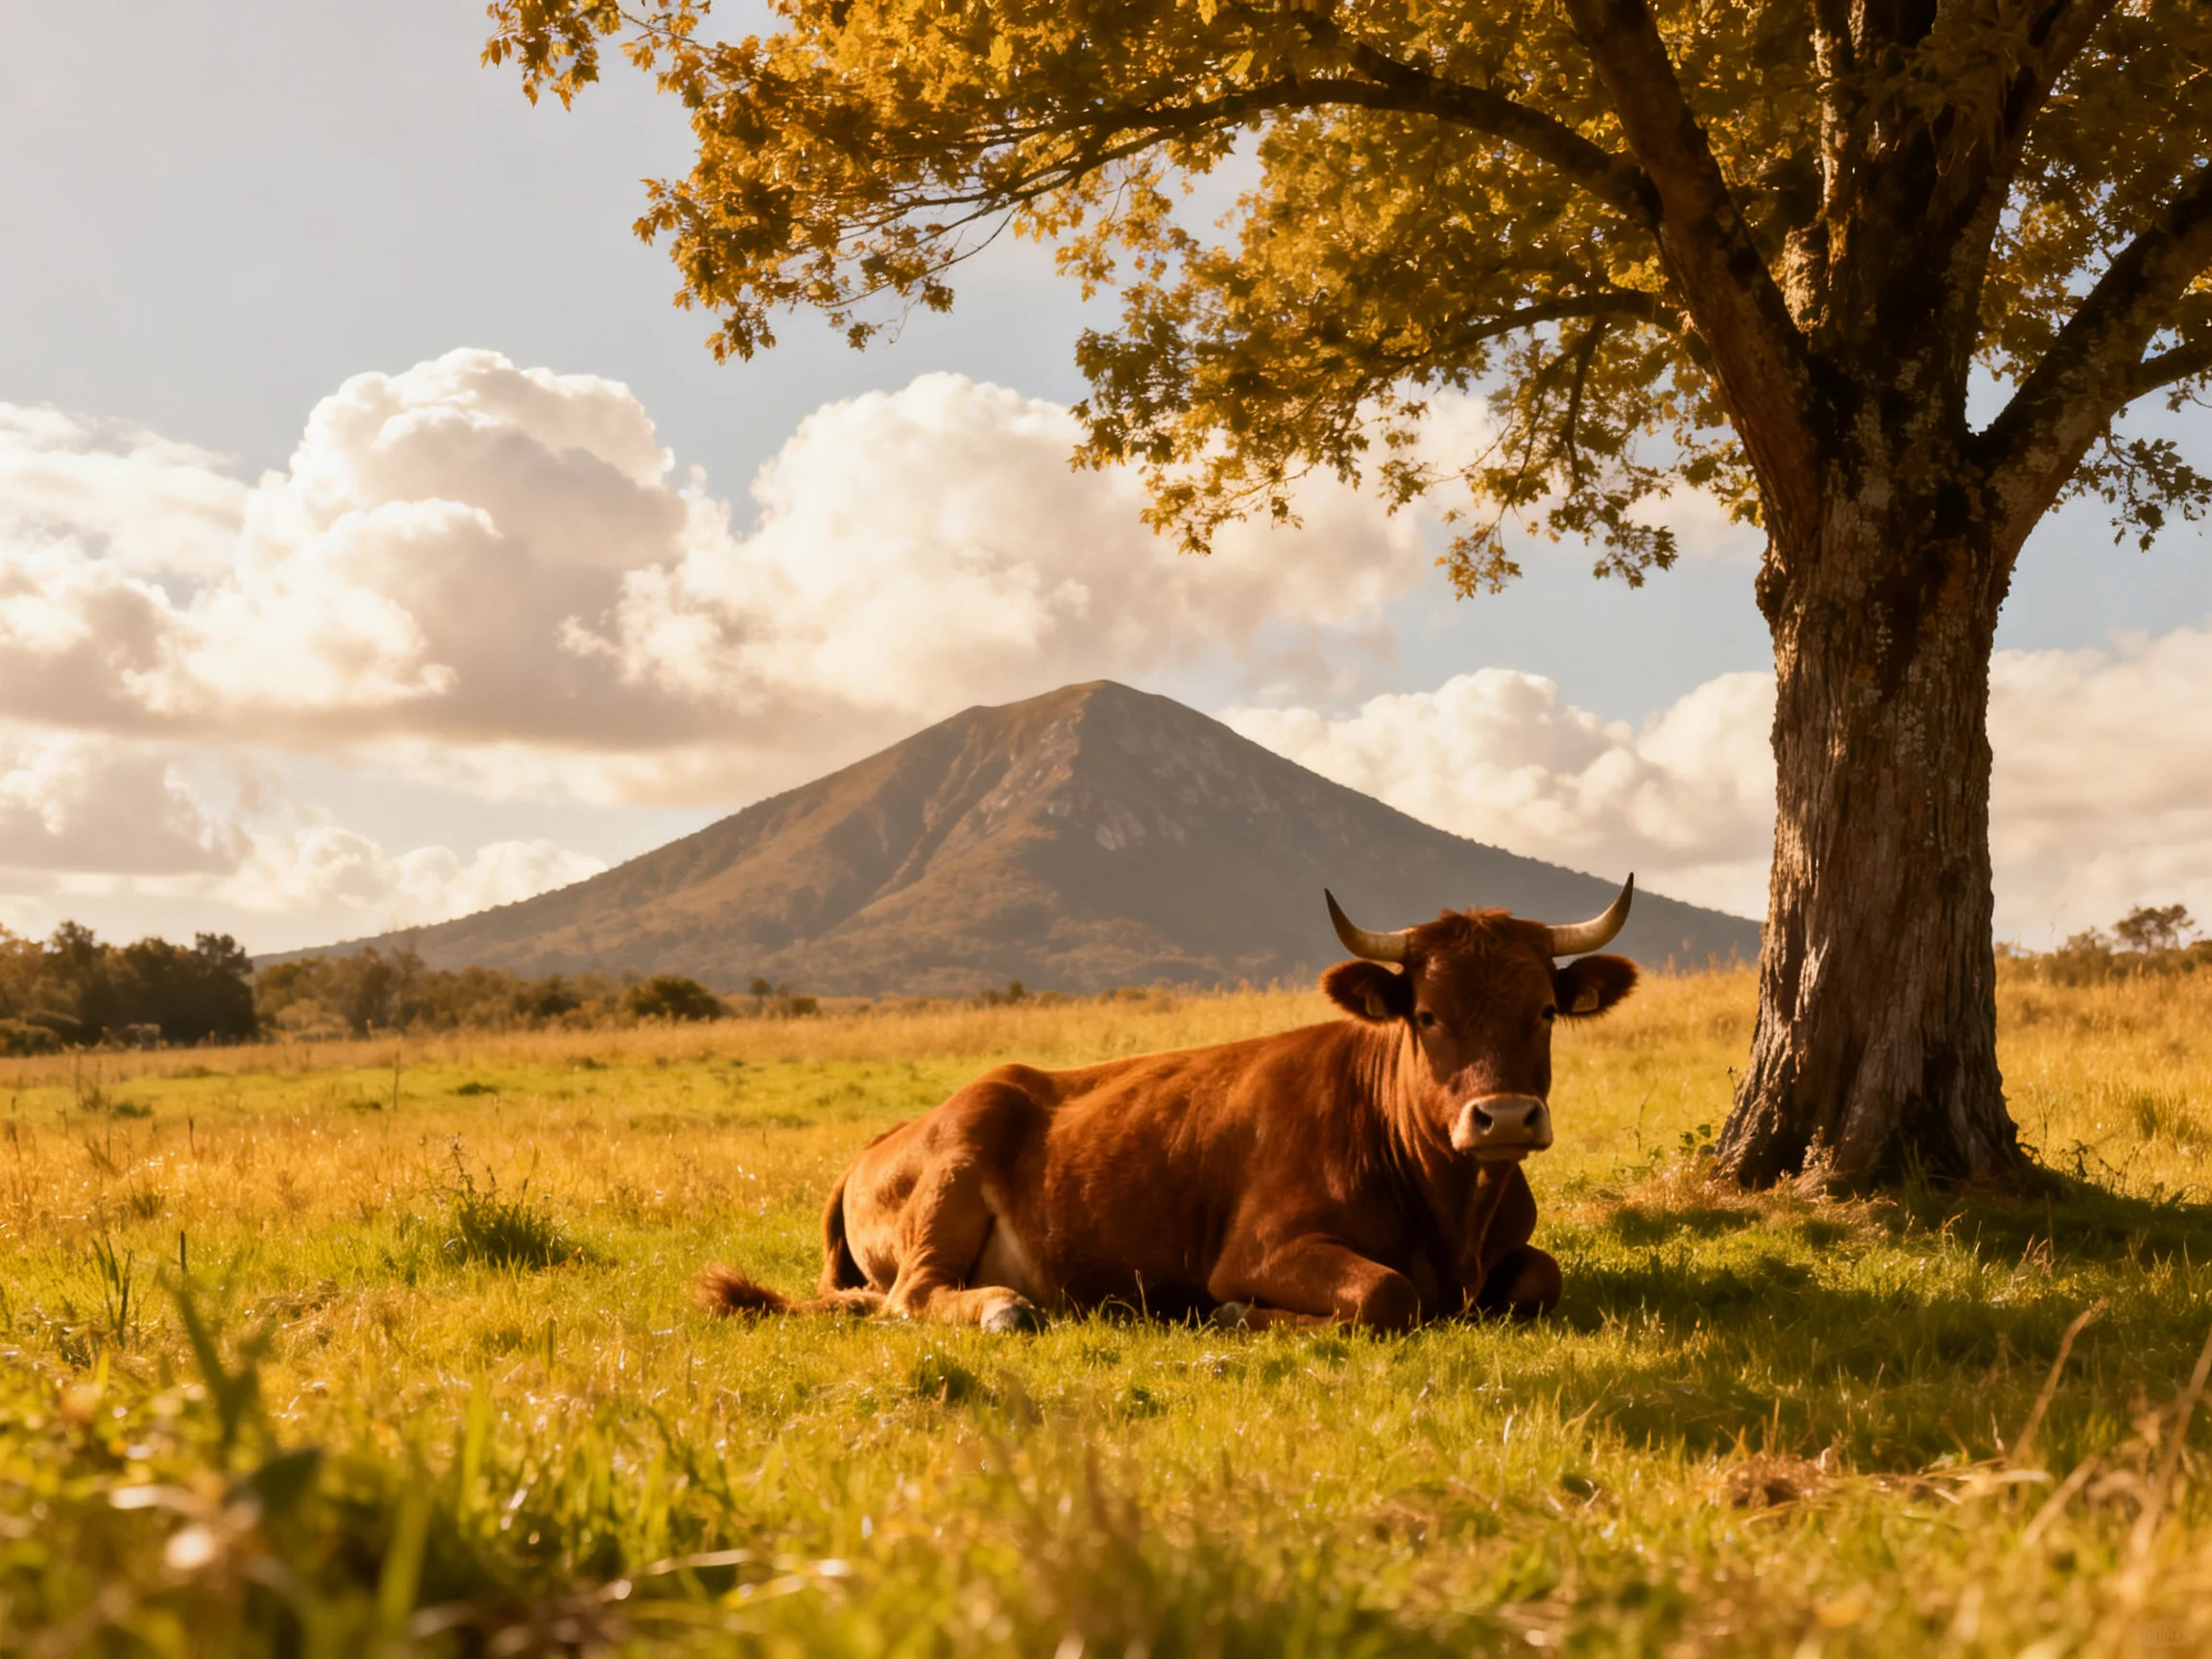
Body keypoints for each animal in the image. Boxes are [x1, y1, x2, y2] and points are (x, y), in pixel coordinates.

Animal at [696, 879, 1640, 1331]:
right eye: (1429, 1015)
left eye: (1544, 1011)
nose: (1504, 1117)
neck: (1449, 1215)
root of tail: (883, 1138)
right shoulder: (1260, 1248)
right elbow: (1387, 1296)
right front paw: (1234, 1317)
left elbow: (1542, 1277)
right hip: (954, 1173)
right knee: (912, 1299)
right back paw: (1003, 1309)